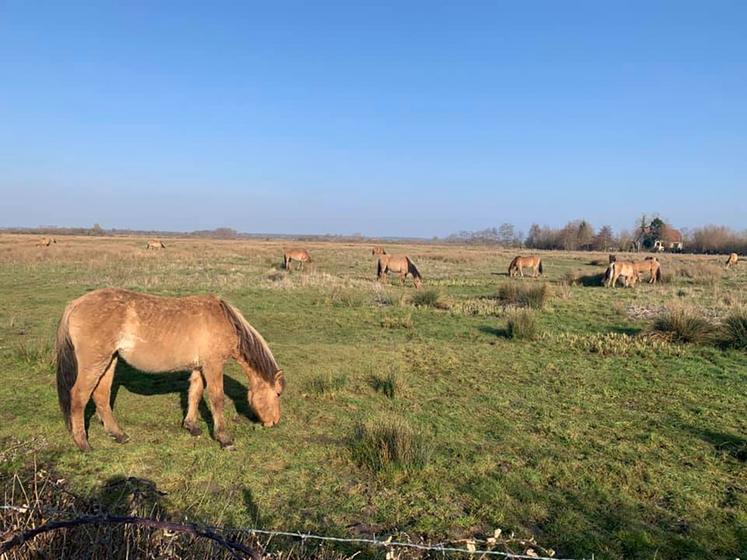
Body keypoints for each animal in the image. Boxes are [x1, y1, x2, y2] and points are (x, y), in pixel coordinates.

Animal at [55, 288, 285, 452]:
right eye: (278, 394)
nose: (274, 422)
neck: (224, 320)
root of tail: (75, 304)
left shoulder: (199, 367)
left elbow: (195, 394)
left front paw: (192, 426)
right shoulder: (213, 365)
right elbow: (217, 399)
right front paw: (225, 439)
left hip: (109, 361)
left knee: (101, 396)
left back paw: (119, 435)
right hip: (94, 363)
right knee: (79, 397)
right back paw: (83, 444)